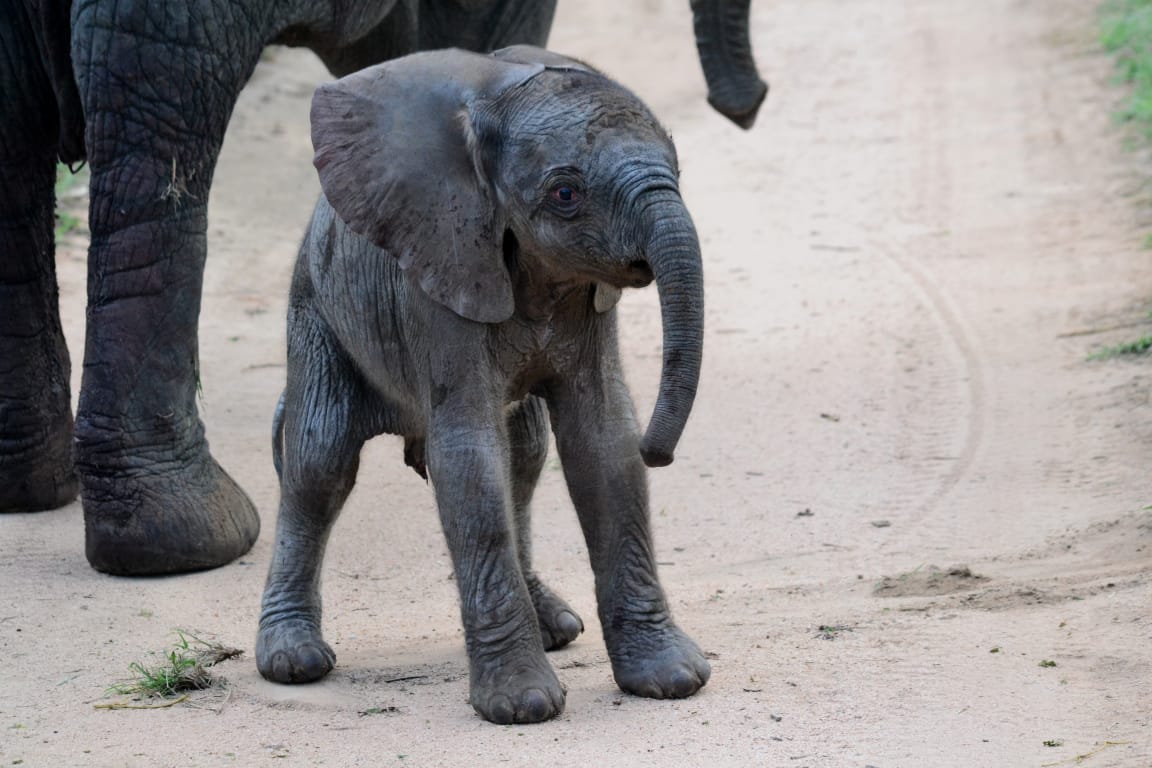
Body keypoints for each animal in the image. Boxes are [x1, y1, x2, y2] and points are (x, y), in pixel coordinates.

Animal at [256, 45, 710, 724]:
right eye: (566, 193)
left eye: (678, 166)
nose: (662, 451)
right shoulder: (440, 274)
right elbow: (469, 459)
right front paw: (522, 706)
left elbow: (602, 445)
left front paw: (672, 678)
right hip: (314, 311)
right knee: (320, 462)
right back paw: (293, 661)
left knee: (524, 457)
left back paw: (556, 625)